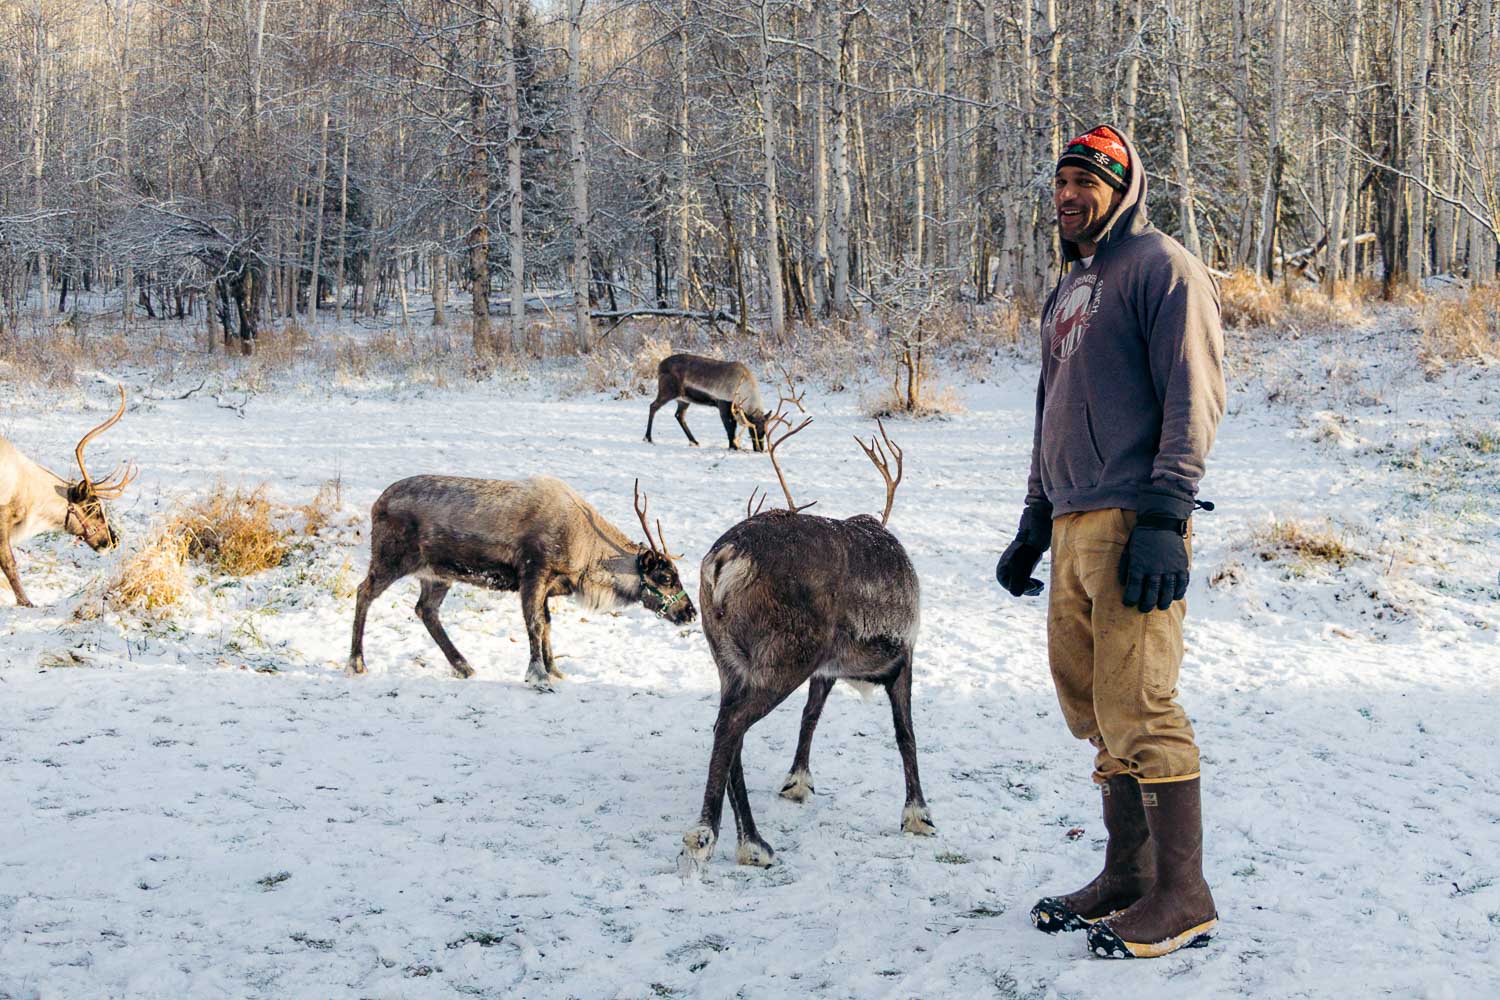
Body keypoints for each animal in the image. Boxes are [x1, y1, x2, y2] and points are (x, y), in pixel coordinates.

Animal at [348, 475, 696, 689]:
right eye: (666, 577)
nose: (690, 613)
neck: (585, 554)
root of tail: (376, 504)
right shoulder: (534, 573)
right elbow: (535, 624)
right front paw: (538, 674)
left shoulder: (549, 586)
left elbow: (547, 623)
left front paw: (555, 669)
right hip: (391, 559)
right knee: (363, 591)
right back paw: (356, 662)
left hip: (437, 575)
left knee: (425, 610)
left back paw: (463, 665)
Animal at [645, 354, 793, 452]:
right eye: (752, 429)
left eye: (765, 430)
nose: (760, 449)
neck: (743, 386)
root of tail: (660, 365)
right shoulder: (724, 404)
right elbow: (730, 428)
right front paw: (733, 446)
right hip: (667, 391)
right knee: (653, 406)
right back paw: (648, 438)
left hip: (684, 399)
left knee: (679, 415)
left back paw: (694, 441)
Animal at [681, 412, 933, 869]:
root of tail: (726, 559)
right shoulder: (903, 656)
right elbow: (906, 734)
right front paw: (918, 815)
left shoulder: (826, 669)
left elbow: (809, 717)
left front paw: (797, 782)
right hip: (785, 659)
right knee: (731, 725)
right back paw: (708, 834)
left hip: (730, 660)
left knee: (726, 728)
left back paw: (752, 843)